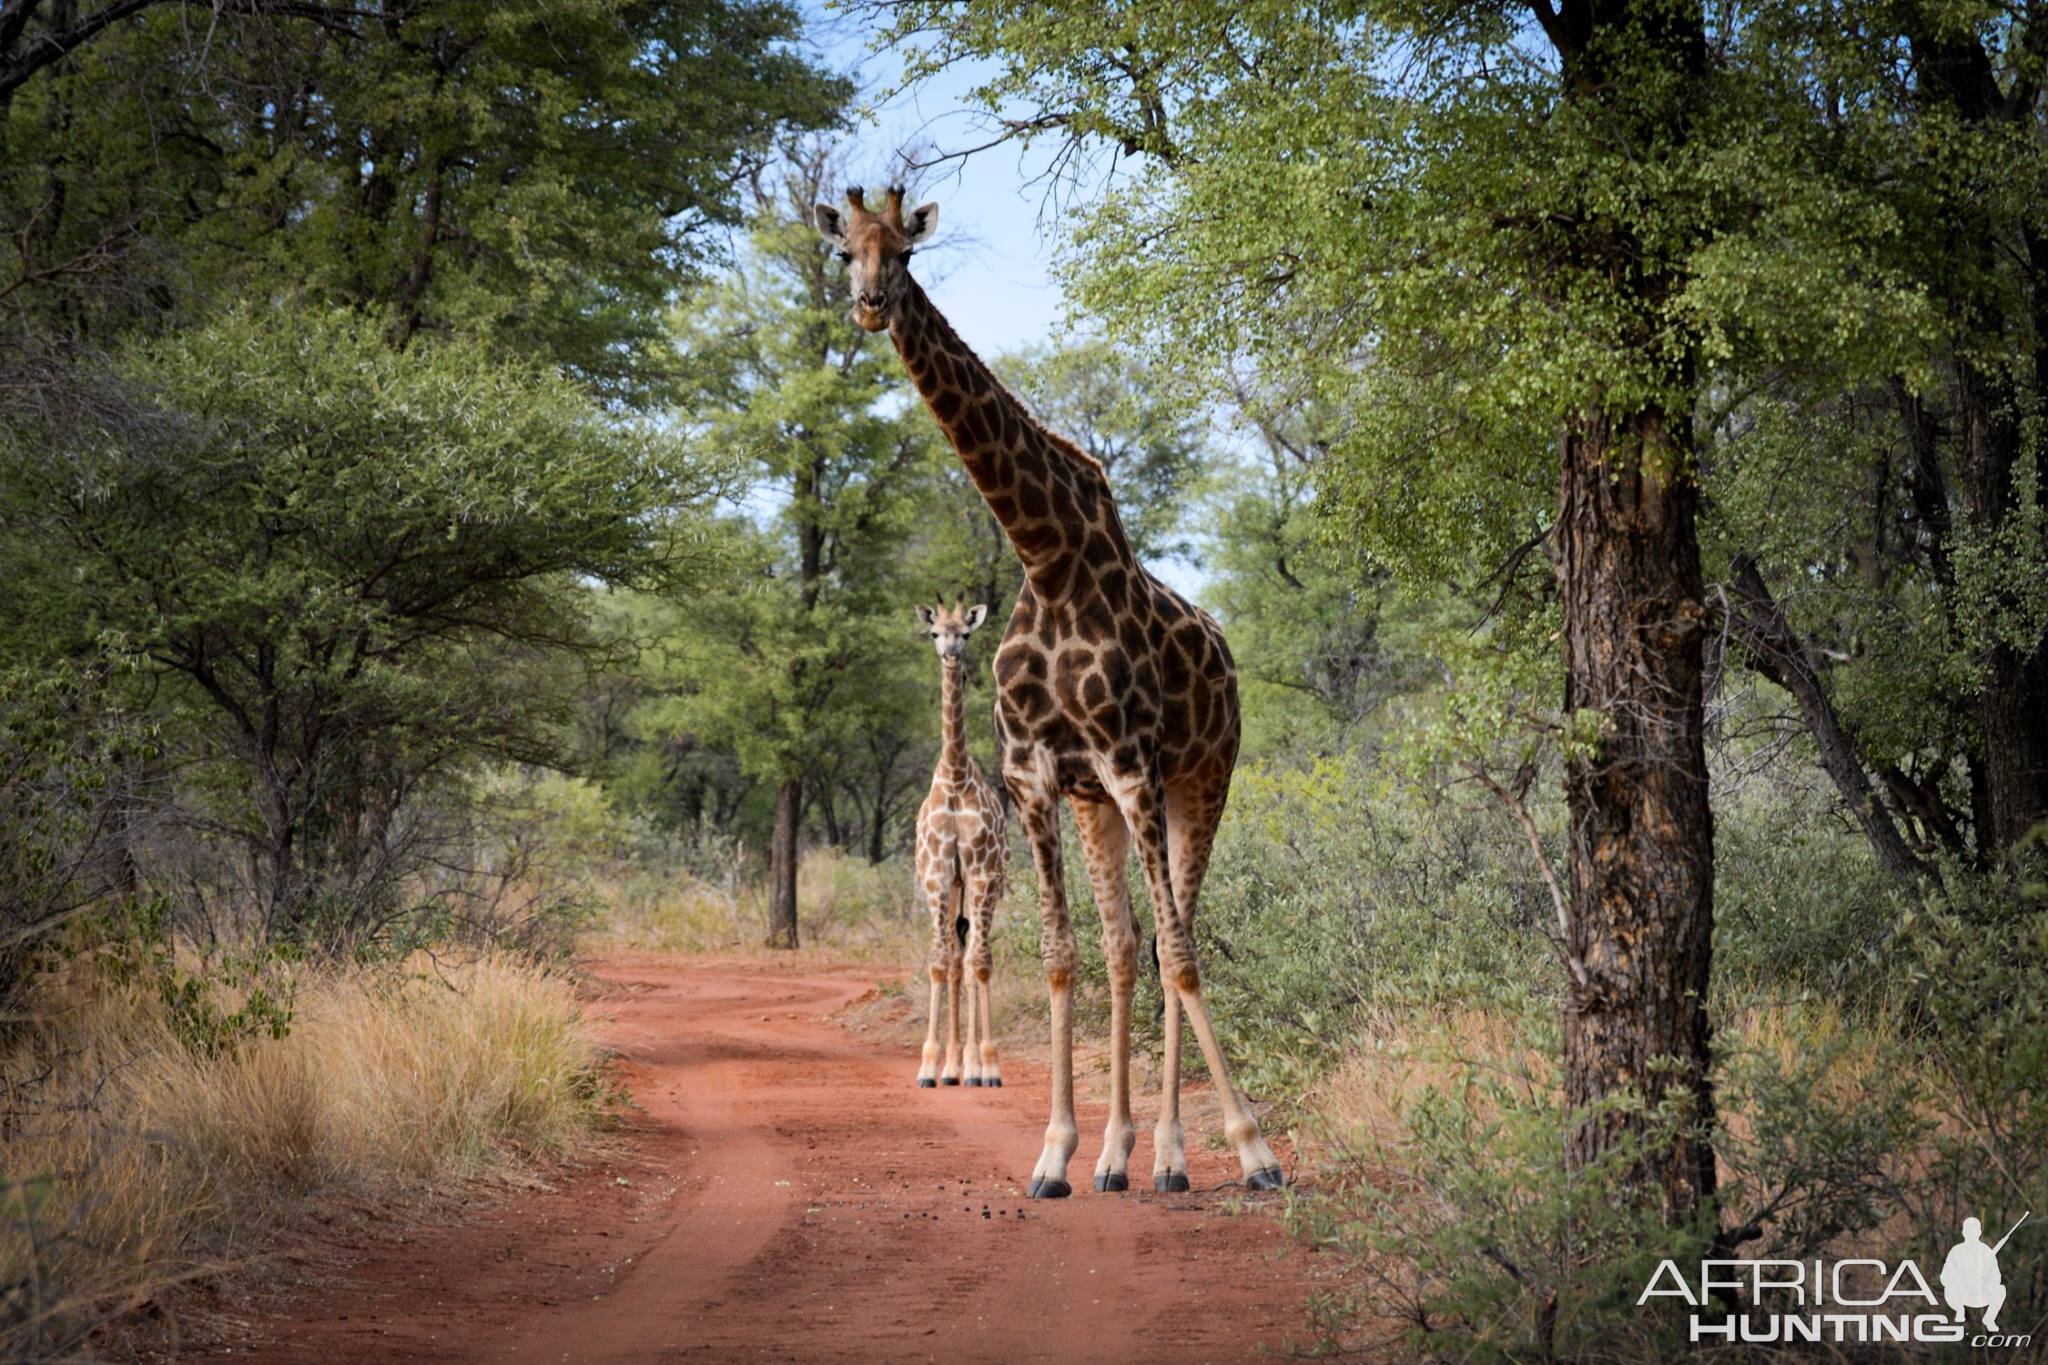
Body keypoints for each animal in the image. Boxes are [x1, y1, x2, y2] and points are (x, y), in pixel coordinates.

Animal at [819, 189, 1277, 1195]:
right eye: (844, 251)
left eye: (905, 253)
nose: (871, 305)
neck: (1046, 554)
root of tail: (1228, 658)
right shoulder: (1038, 776)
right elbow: (1065, 954)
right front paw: (1058, 1151)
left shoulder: (1135, 763)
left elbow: (1181, 949)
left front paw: (1251, 1147)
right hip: (1099, 800)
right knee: (1122, 944)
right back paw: (1119, 1153)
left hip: (1203, 778)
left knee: (1171, 936)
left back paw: (1176, 1155)